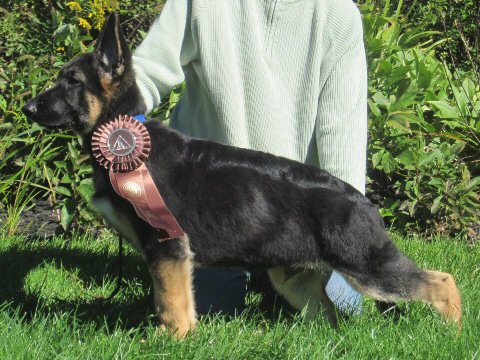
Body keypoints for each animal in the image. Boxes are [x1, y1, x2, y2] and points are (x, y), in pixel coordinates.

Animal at [23, 12, 462, 336]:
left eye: (72, 82)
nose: (28, 109)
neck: (125, 138)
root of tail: (362, 201)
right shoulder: (170, 253)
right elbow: (176, 302)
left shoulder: (167, 247)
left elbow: (171, 305)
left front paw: (171, 341)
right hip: (294, 278)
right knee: (328, 316)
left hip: (366, 267)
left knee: (440, 281)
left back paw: (454, 332)